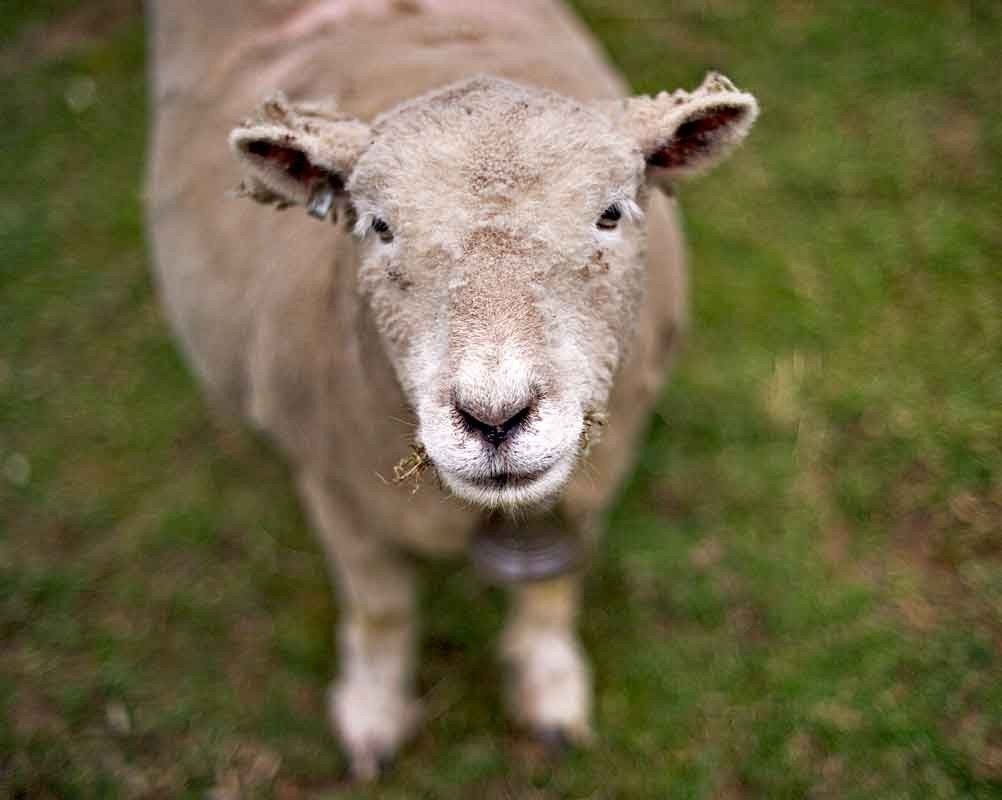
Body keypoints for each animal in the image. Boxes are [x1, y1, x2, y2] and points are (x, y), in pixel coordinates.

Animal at [146, 0, 757, 780]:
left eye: (612, 213)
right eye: (378, 227)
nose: (495, 418)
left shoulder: (609, 457)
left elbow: (553, 582)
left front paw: (550, 686)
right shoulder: (333, 486)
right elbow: (381, 610)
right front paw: (373, 713)